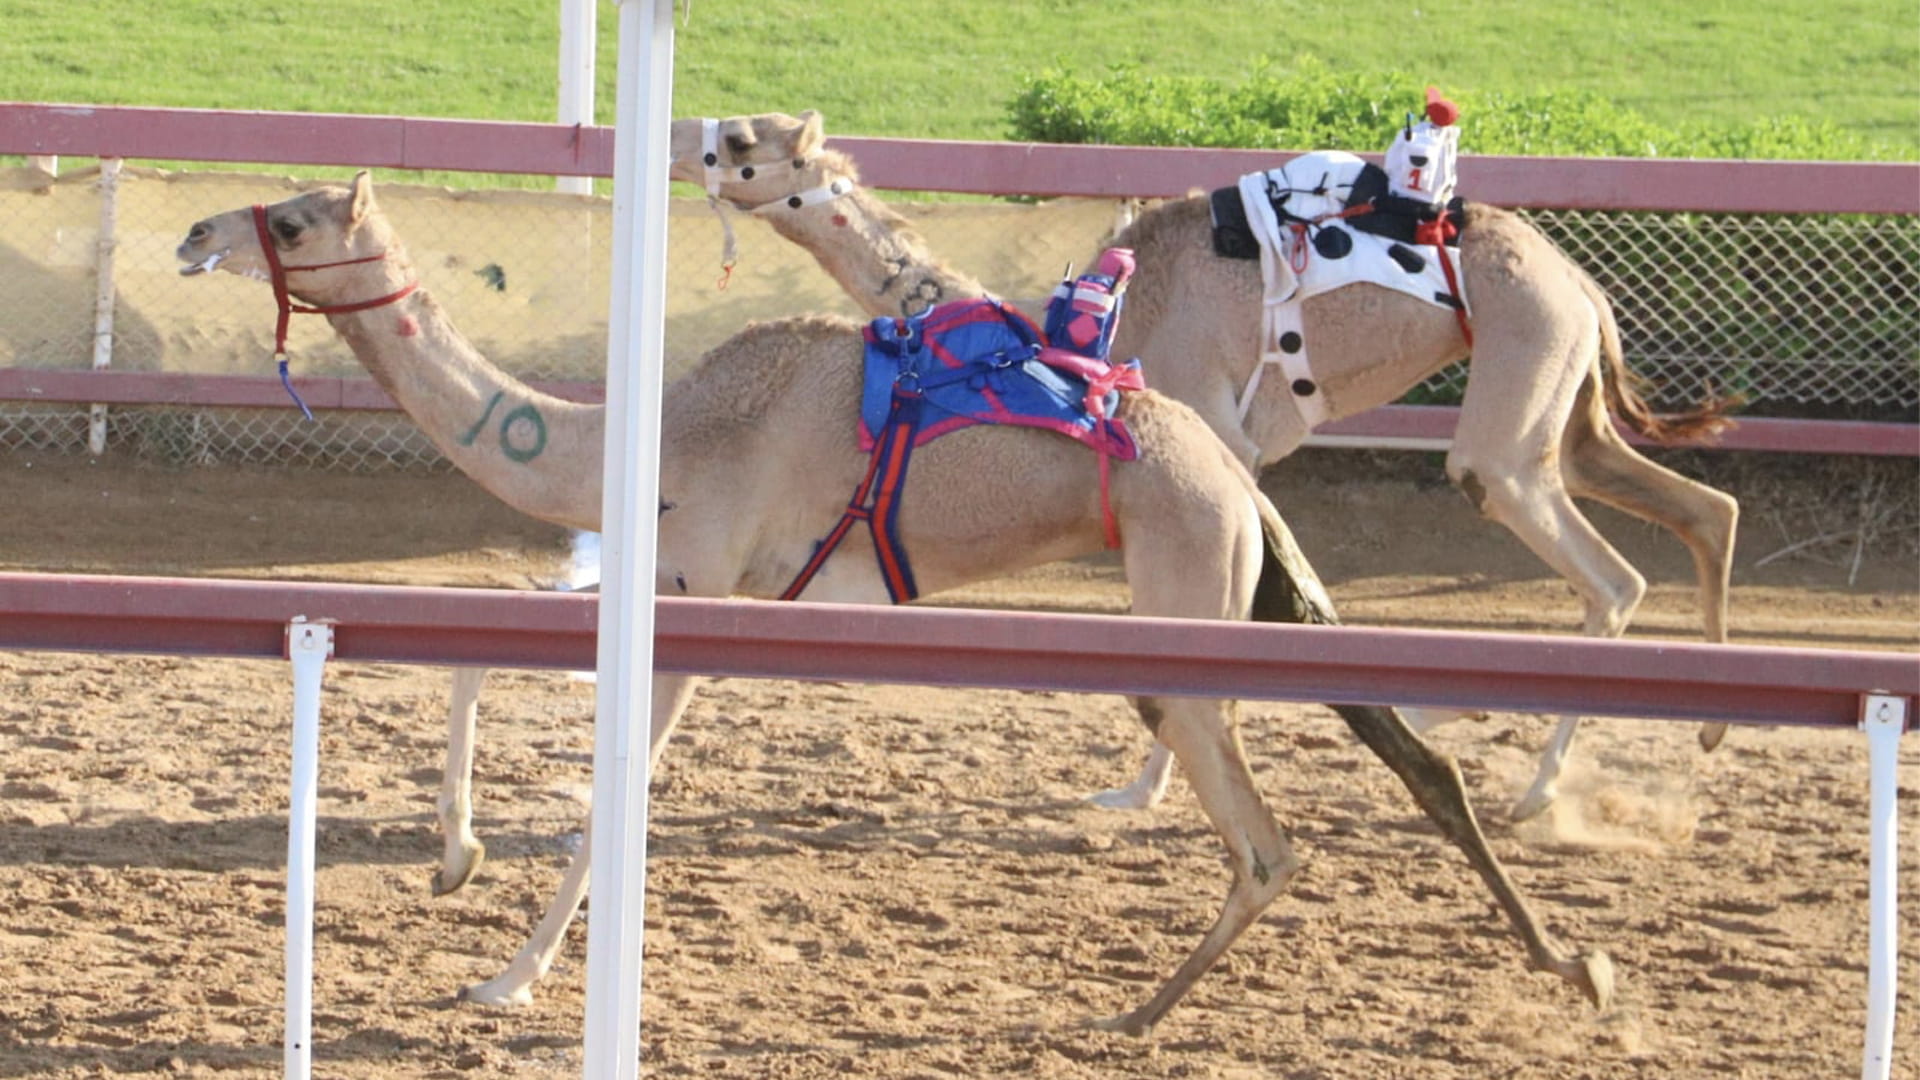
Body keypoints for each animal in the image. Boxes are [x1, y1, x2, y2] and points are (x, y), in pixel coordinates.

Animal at [177, 173, 1612, 1033]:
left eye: (295, 221)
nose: (195, 234)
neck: (648, 434)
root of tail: (1231, 481)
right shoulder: (678, 581)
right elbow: (480, 661)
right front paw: (457, 858)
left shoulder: (696, 599)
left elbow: (603, 805)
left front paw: (505, 979)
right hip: (1244, 590)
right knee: (1404, 751)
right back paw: (1565, 958)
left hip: (1185, 599)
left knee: (1264, 833)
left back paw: (1135, 1014)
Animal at [686, 110, 1740, 822]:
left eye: (741, 144)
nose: (685, 136)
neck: (1105, 323)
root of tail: (1583, 282)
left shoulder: (1213, 445)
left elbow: (1200, 635)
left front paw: (1139, 791)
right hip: (1571, 406)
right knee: (1703, 509)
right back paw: (1699, 727)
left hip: (1520, 381)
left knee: (1604, 570)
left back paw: (1536, 790)